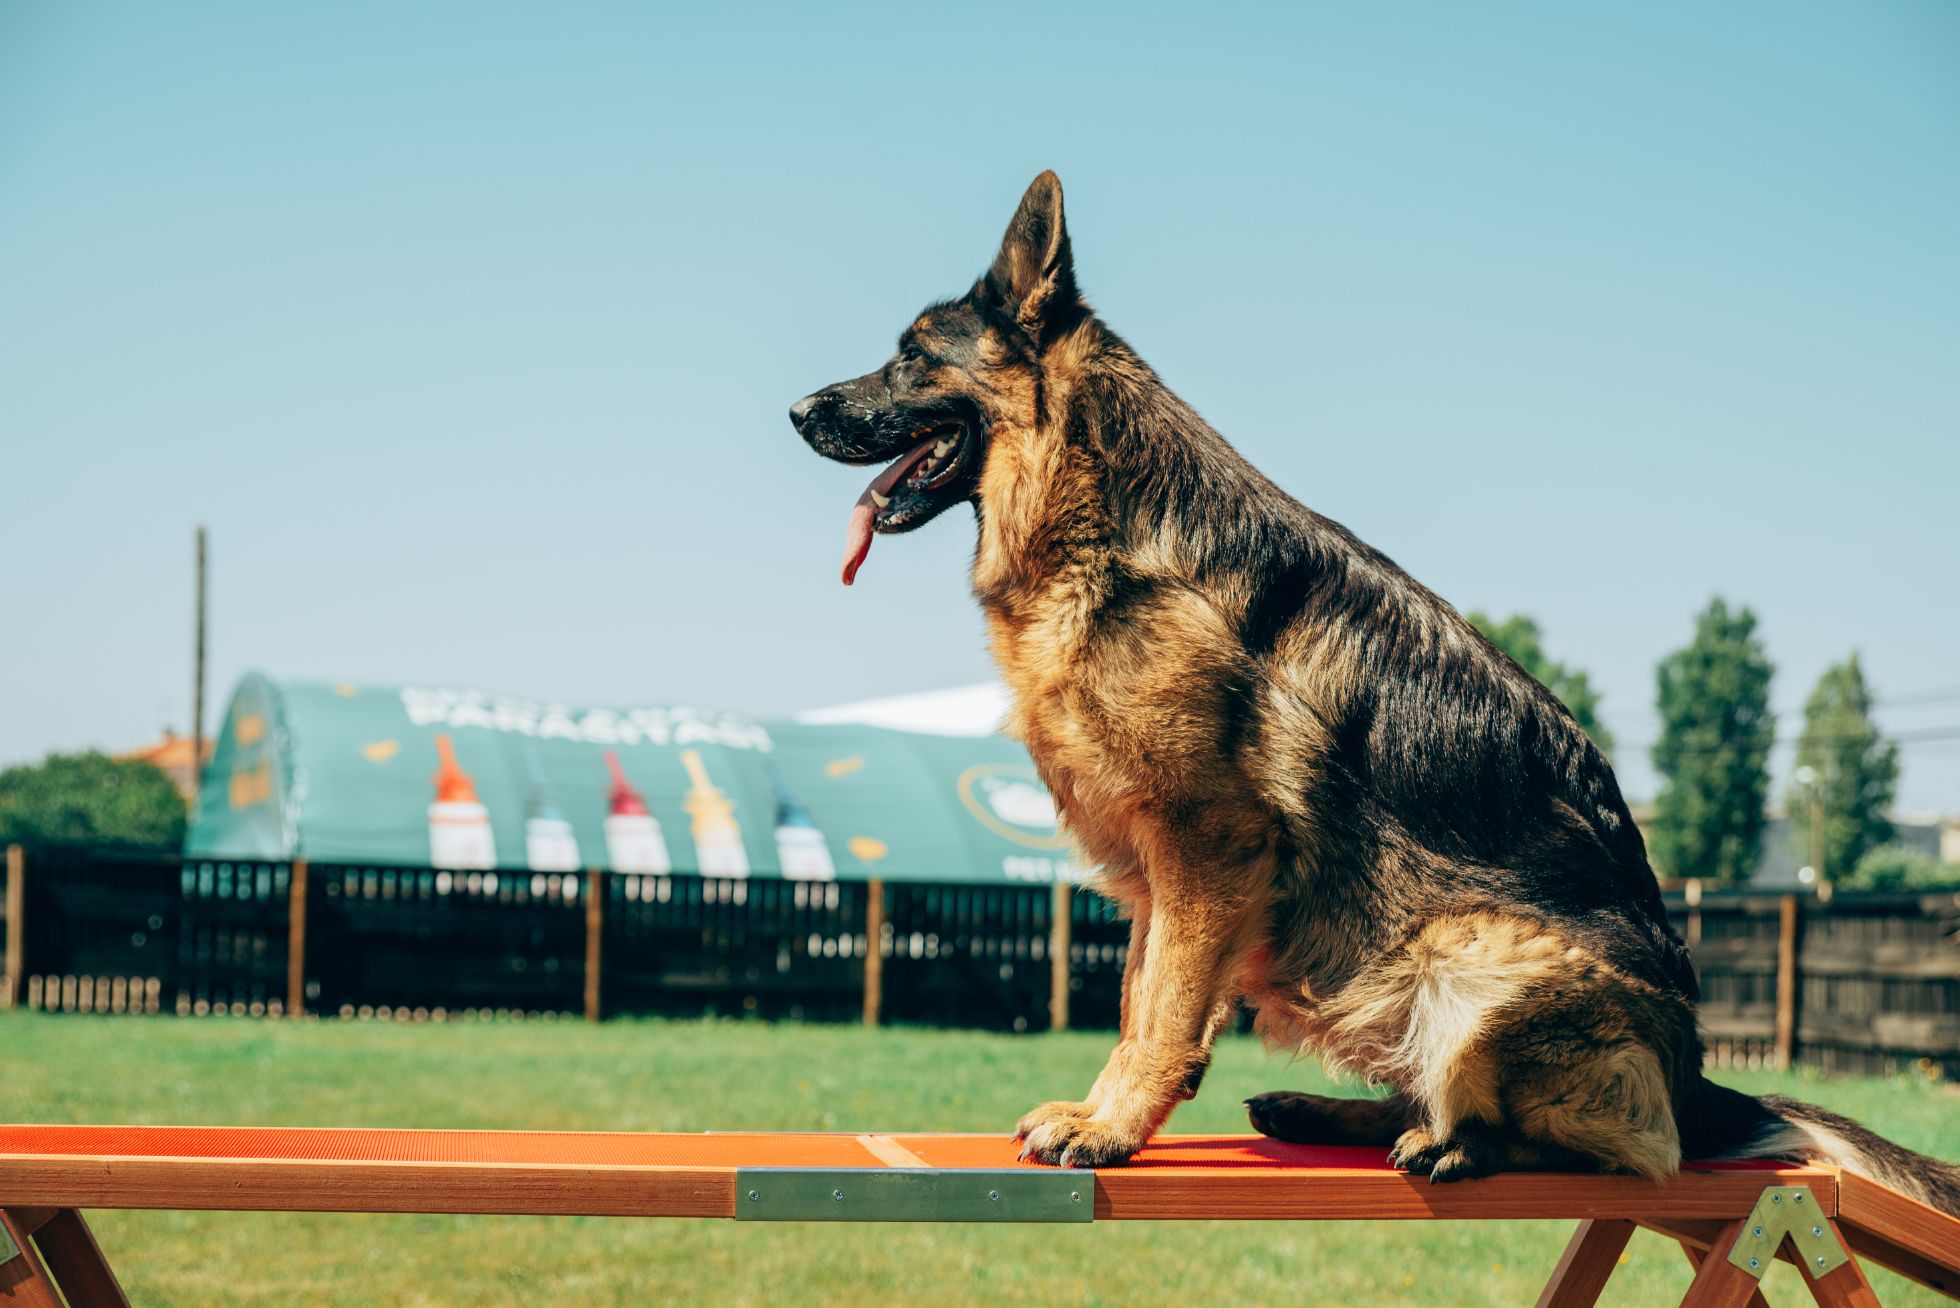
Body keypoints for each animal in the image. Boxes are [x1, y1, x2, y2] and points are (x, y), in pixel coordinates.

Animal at [787, 171, 1952, 1207]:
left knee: (1626, 1148)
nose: (796, 409)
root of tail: (1701, 1079)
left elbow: (1160, 1011)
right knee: (1437, 1095)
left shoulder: (1206, 841)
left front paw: (1111, 1128)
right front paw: (1113, 1111)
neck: (1098, 511)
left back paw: (1459, 1145)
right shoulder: (1158, 871)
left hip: (1472, 955)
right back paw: (1331, 1114)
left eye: (909, 359)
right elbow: (1136, 999)